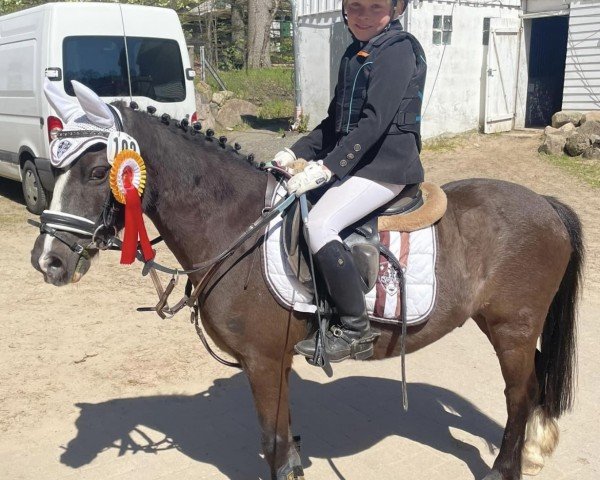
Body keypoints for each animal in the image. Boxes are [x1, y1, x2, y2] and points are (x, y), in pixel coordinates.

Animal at [29, 92, 580, 478]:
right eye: (54, 169)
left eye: (97, 172)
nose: (48, 261)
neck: (236, 226)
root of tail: (545, 204)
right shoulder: (274, 364)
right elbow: (285, 443)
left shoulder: (263, 361)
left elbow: (273, 445)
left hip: (511, 329)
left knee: (518, 394)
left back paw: (505, 469)